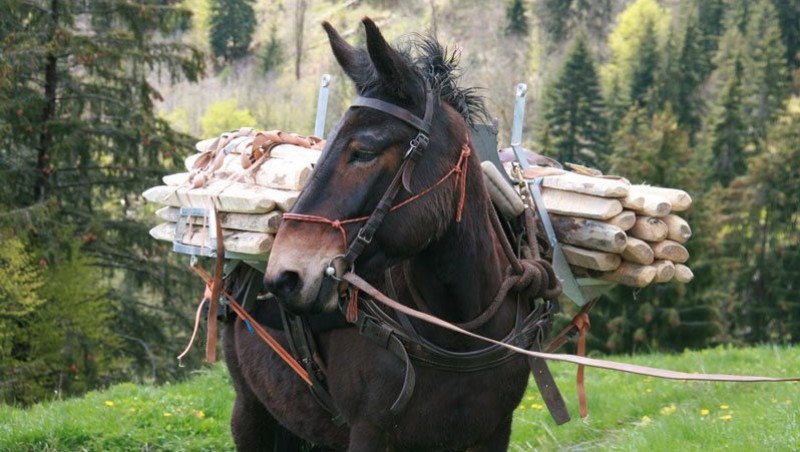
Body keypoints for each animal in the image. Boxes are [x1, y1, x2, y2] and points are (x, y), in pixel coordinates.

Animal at [223, 18, 564, 451]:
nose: (285, 275)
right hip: (251, 412)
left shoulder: (495, 431)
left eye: (364, 151)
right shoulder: (369, 433)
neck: (459, 330)